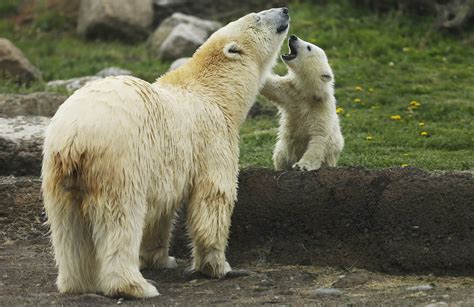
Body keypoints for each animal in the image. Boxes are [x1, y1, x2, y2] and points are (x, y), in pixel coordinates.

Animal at [43, 8, 288, 300]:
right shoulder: (213, 139)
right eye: (257, 17)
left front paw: (161, 259)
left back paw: (78, 283)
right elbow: (213, 199)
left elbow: (160, 211)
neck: (215, 93)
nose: (285, 10)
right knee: (120, 220)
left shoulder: (166, 167)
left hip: (57, 171)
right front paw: (221, 267)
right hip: (119, 162)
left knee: (68, 226)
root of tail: (75, 134)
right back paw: (136, 286)